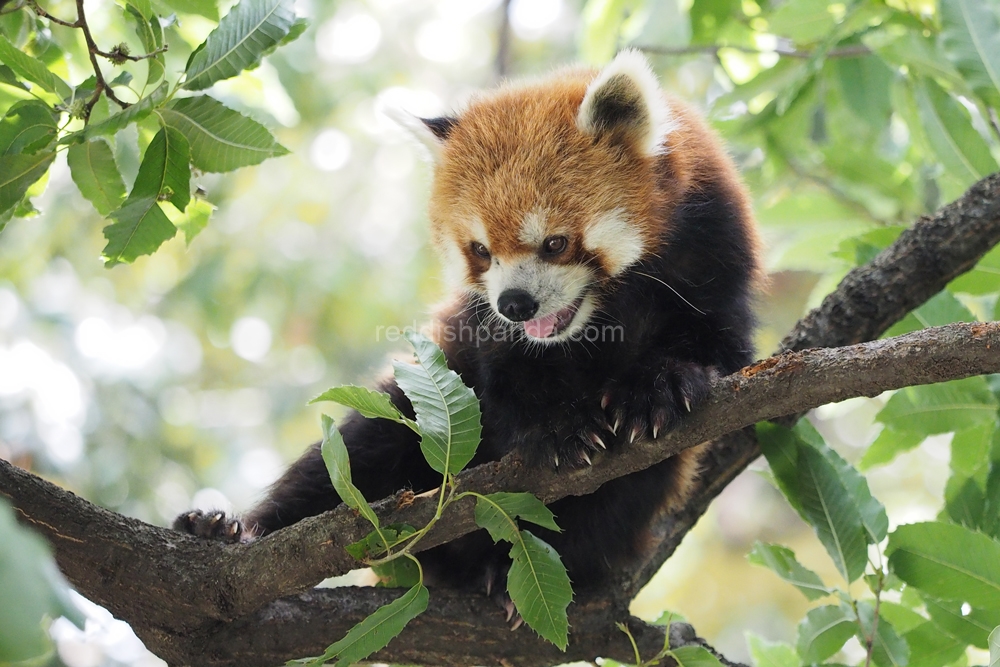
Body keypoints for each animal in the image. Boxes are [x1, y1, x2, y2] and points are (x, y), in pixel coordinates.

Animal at [176, 51, 760, 604]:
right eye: (480, 251)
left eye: (555, 243)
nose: (515, 304)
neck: (599, 317)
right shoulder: (479, 333)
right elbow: (502, 385)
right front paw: (557, 426)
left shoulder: (714, 253)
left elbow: (719, 347)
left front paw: (655, 387)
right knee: (353, 454)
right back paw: (226, 532)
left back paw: (511, 574)